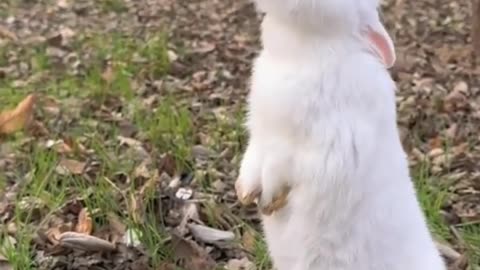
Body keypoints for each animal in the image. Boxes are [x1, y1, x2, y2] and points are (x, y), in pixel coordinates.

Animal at [234, 0, 448, 270]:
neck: (302, 53)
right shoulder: (260, 135)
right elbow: (252, 160)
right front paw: (244, 192)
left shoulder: (323, 150)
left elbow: (282, 167)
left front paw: (269, 199)